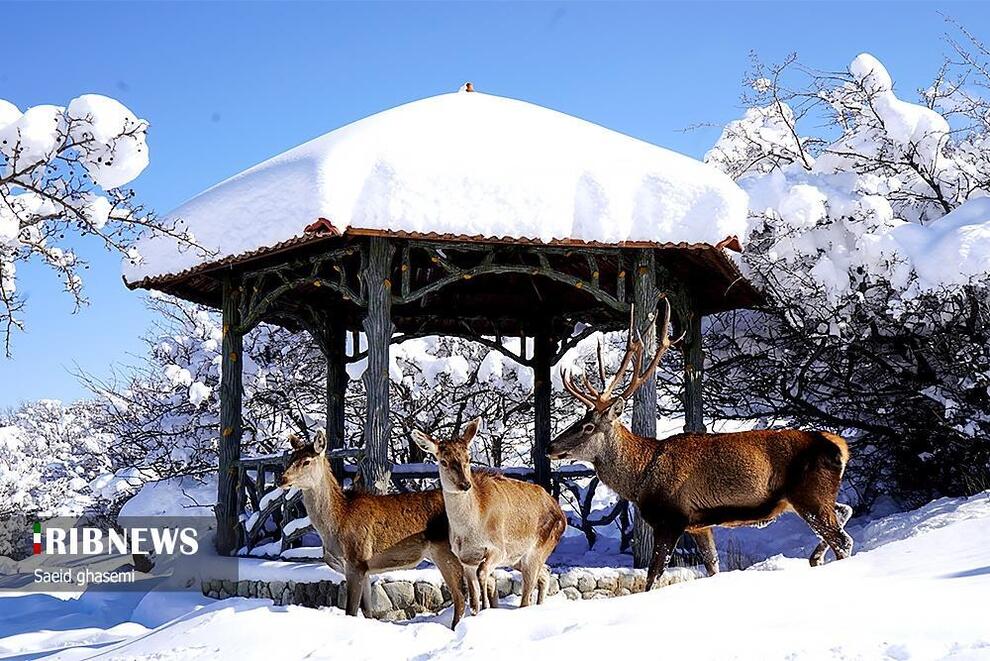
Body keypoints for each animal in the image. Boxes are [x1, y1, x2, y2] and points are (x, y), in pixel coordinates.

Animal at [278, 430, 466, 628]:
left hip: (446, 552)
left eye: (306, 461)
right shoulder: (365, 569)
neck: (337, 522)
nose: (282, 479)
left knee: (460, 597)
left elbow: (351, 611)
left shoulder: (356, 561)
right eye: (291, 458)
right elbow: (368, 612)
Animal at [410, 420, 564, 612]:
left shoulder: (498, 548)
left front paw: (487, 606)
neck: (470, 530)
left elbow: (482, 573)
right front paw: (479, 608)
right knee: (544, 574)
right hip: (517, 559)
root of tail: (560, 511)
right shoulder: (465, 558)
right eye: (443, 461)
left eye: (468, 458)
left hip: (538, 549)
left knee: (527, 595)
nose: (465, 484)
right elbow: (473, 598)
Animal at [552, 300, 852, 592]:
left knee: (843, 541)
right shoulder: (698, 524)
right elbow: (712, 566)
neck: (641, 478)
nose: (550, 447)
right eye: (580, 420)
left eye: (588, 426)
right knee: (845, 512)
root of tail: (839, 445)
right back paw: (815, 556)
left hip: (810, 495)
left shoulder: (672, 518)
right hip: (811, 497)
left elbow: (653, 578)